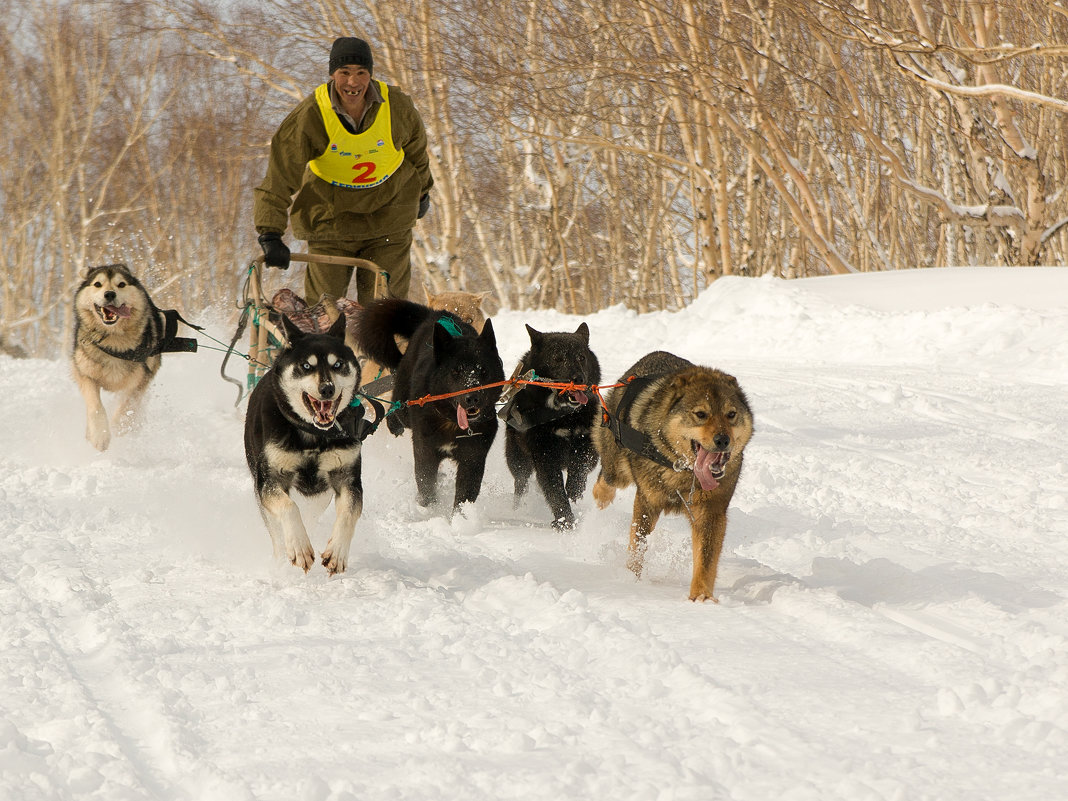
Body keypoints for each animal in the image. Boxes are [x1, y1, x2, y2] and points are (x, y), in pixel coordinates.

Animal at [244, 316, 365, 576]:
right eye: (307, 366)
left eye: (338, 364)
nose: (327, 388)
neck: (313, 435)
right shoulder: (270, 480)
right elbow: (289, 507)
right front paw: (298, 547)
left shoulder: (346, 477)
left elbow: (349, 513)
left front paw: (337, 552)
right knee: (277, 529)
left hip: (321, 494)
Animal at [354, 299, 504, 510]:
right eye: (456, 371)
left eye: (482, 369)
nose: (472, 397)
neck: (451, 422)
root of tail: (435, 314)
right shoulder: (425, 452)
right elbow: (426, 485)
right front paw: (429, 509)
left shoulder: (473, 458)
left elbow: (465, 495)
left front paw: (460, 517)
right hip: (405, 401)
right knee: (397, 408)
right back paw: (393, 423)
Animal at [501, 322, 602, 529]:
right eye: (558, 358)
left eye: (581, 357)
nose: (578, 378)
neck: (563, 416)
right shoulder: (545, 454)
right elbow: (555, 490)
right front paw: (565, 520)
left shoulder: (586, 447)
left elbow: (578, 475)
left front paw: (573, 497)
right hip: (518, 459)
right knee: (520, 484)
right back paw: (518, 509)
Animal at [593, 350, 751, 602]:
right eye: (700, 414)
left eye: (731, 414)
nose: (723, 440)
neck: (683, 470)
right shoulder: (646, 501)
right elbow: (637, 543)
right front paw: (631, 580)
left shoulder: (711, 510)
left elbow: (706, 558)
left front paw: (702, 597)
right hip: (616, 461)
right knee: (608, 477)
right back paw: (601, 498)